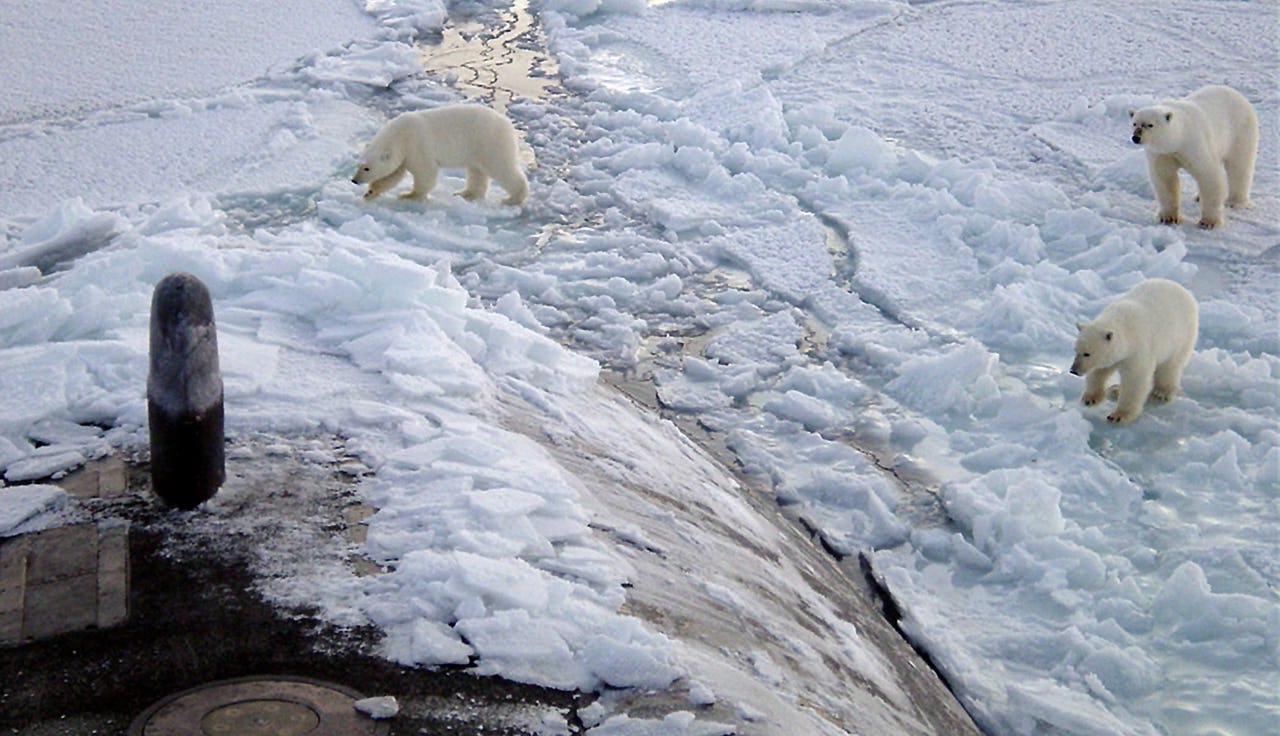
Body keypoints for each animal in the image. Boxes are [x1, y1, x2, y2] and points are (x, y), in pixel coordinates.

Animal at [350, 103, 524, 207]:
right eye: (358, 165)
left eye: (367, 168)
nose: (354, 180)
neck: (401, 134)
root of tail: (508, 124)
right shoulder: (403, 153)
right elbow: (393, 175)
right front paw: (370, 193)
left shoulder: (417, 146)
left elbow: (425, 173)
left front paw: (409, 195)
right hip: (477, 149)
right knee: (477, 171)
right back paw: (467, 193)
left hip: (489, 142)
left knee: (501, 168)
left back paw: (513, 198)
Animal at [1070, 276, 1198, 424]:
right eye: (1076, 350)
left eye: (1087, 353)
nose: (1073, 370)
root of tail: (1183, 290)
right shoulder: (1117, 355)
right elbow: (1099, 371)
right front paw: (1090, 398)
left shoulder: (1138, 349)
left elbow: (1135, 379)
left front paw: (1118, 415)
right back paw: (1116, 389)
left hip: (1181, 337)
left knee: (1170, 366)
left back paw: (1161, 392)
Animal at [1131, 84, 1259, 227]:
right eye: (1134, 123)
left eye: (1150, 125)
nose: (1136, 137)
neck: (1179, 137)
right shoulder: (1162, 154)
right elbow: (1165, 179)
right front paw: (1168, 217)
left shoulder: (1194, 144)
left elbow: (1209, 175)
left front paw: (1208, 222)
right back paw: (1199, 196)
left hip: (1240, 131)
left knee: (1239, 166)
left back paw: (1235, 202)